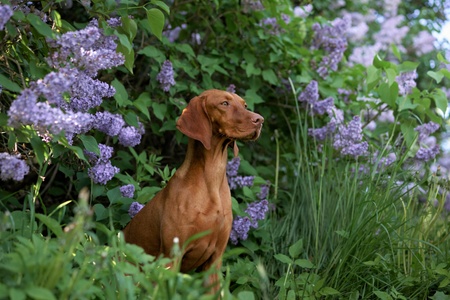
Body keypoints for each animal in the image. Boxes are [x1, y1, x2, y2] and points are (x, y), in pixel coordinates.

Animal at [123, 88, 264, 290]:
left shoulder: (214, 261)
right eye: (224, 103)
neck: (211, 180)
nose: (260, 120)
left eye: (244, 105)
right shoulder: (171, 257)